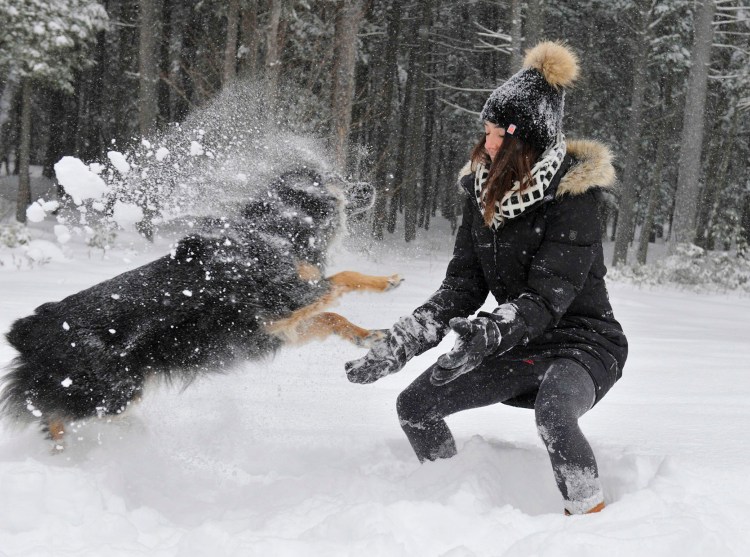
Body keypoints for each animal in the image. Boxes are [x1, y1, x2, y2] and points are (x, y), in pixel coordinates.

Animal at [2, 167, 402, 446]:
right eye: (333, 181)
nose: (370, 187)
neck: (276, 229)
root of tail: (30, 327)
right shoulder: (280, 305)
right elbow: (343, 278)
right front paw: (386, 282)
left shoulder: (276, 327)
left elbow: (333, 315)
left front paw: (369, 336)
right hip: (110, 390)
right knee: (55, 416)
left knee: (50, 415)